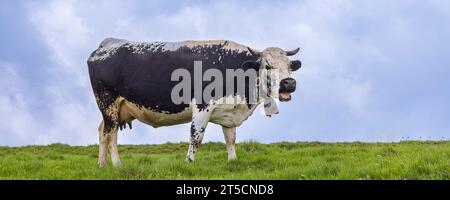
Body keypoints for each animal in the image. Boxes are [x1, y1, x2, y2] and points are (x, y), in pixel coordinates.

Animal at [87, 38, 302, 167]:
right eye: (268, 65)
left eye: (290, 66)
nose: (289, 83)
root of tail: (107, 44)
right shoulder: (202, 106)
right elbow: (196, 137)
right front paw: (189, 161)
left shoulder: (228, 113)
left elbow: (230, 139)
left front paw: (233, 160)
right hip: (108, 102)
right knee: (110, 134)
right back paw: (113, 165)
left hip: (116, 109)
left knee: (104, 131)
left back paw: (105, 165)